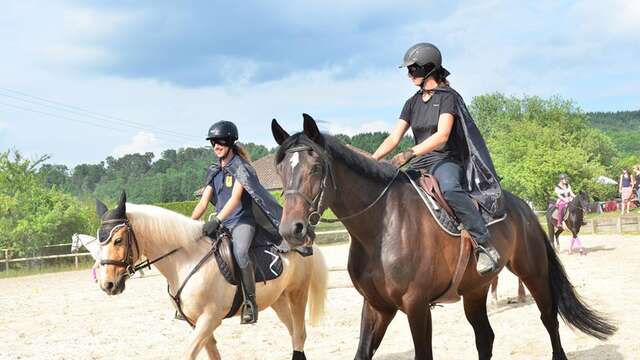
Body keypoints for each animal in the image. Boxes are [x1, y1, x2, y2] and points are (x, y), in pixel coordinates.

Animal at [95, 194, 330, 360]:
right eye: (99, 241)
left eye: (117, 240)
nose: (107, 284)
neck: (186, 260)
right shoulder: (195, 322)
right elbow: (213, 354)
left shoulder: (210, 318)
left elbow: (188, 354)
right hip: (277, 299)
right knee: (293, 333)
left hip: (297, 293)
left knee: (299, 334)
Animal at [270, 114, 616, 360]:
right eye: (282, 170)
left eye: (316, 167)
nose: (291, 229)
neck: (381, 226)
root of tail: (522, 207)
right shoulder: (377, 306)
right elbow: (362, 353)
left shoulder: (417, 305)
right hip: (475, 290)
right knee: (485, 337)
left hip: (534, 272)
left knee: (549, 319)